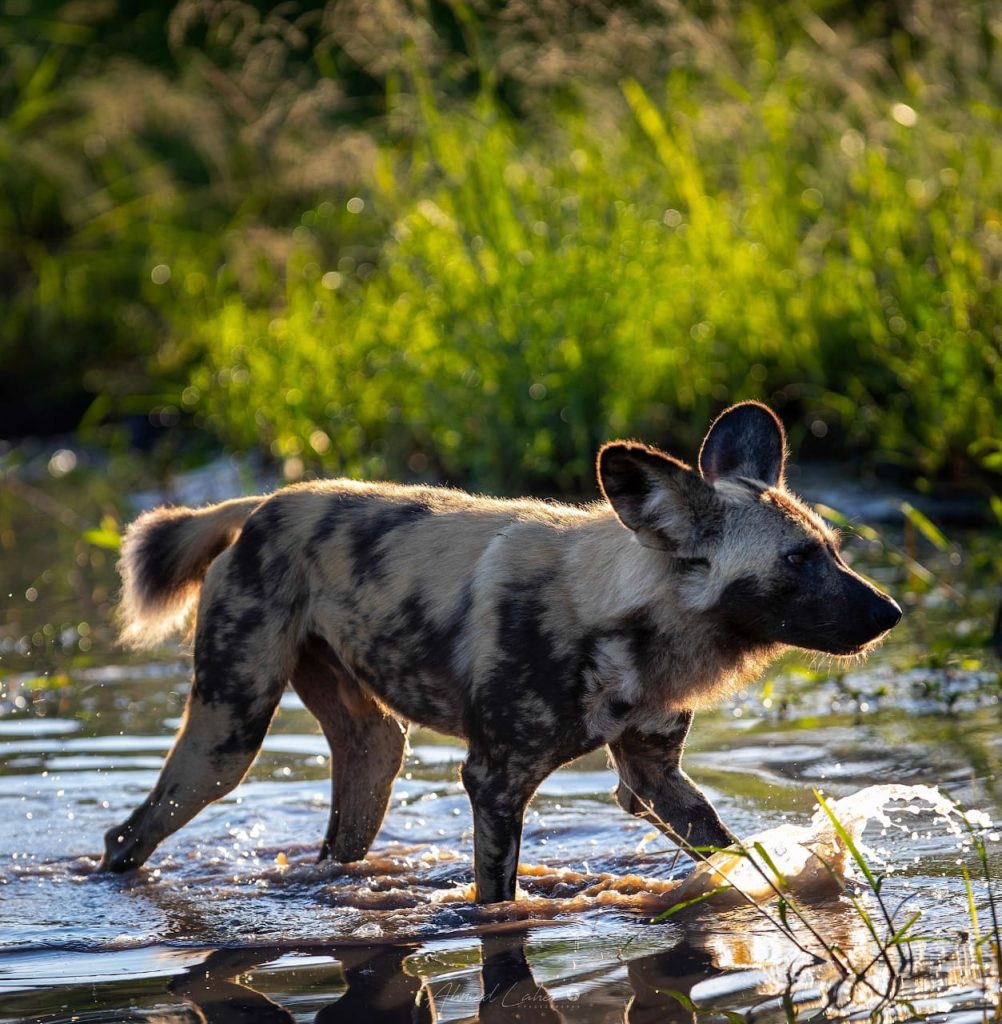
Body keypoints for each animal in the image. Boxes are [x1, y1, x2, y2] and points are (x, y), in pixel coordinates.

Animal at [101, 403, 900, 901]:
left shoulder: (655, 778)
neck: (625, 617)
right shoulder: (494, 781)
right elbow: (497, 901)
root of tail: (264, 503)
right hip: (227, 738)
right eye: (797, 561)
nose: (890, 613)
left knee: (341, 832)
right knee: (128, 834)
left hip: (372, 758)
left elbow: (731, 850)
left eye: (833, 550)